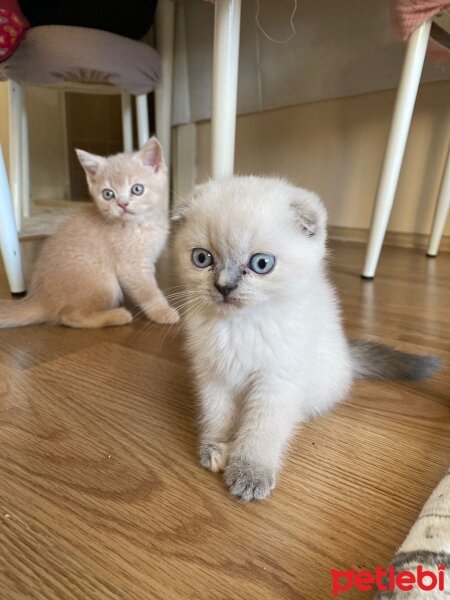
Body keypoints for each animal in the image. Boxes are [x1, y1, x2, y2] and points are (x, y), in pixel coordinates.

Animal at [0, 137, 178, 328]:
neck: (139, 225)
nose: (122, 204)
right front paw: (163, 311)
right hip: (104, 280)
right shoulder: (132, 266)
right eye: (108, 194)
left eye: (137, 189)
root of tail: (39, 298)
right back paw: (116, 316)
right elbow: (147, 291)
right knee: (69, 316)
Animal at [174, 175, 442, 502]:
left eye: (261, 264)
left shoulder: (276, 382)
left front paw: (250, 473)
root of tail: (347, 357)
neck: (239, 326)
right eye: (202, 258)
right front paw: (216, 448)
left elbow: (261, 431)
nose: (224, 287)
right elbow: (219, 416)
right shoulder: (214, 375)